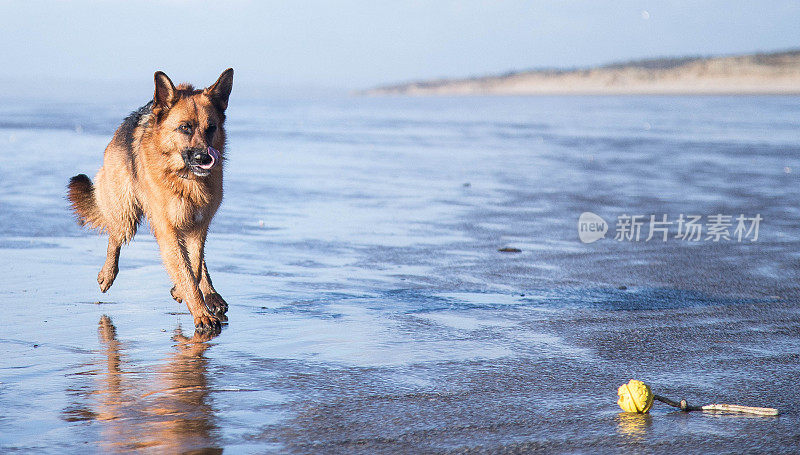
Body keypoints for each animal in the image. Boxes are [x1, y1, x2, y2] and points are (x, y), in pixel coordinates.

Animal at [67, 69, 233, 336]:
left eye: (211, 128)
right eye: (185, 128)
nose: (204, 157)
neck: (183, 177)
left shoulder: (198, 226)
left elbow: (194, 265)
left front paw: (184, 292)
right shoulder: (168, 231)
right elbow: (186, 271)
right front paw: (201, 315)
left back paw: (212, 294)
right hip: (126, 215)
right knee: (114, 236)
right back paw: (107, 274)